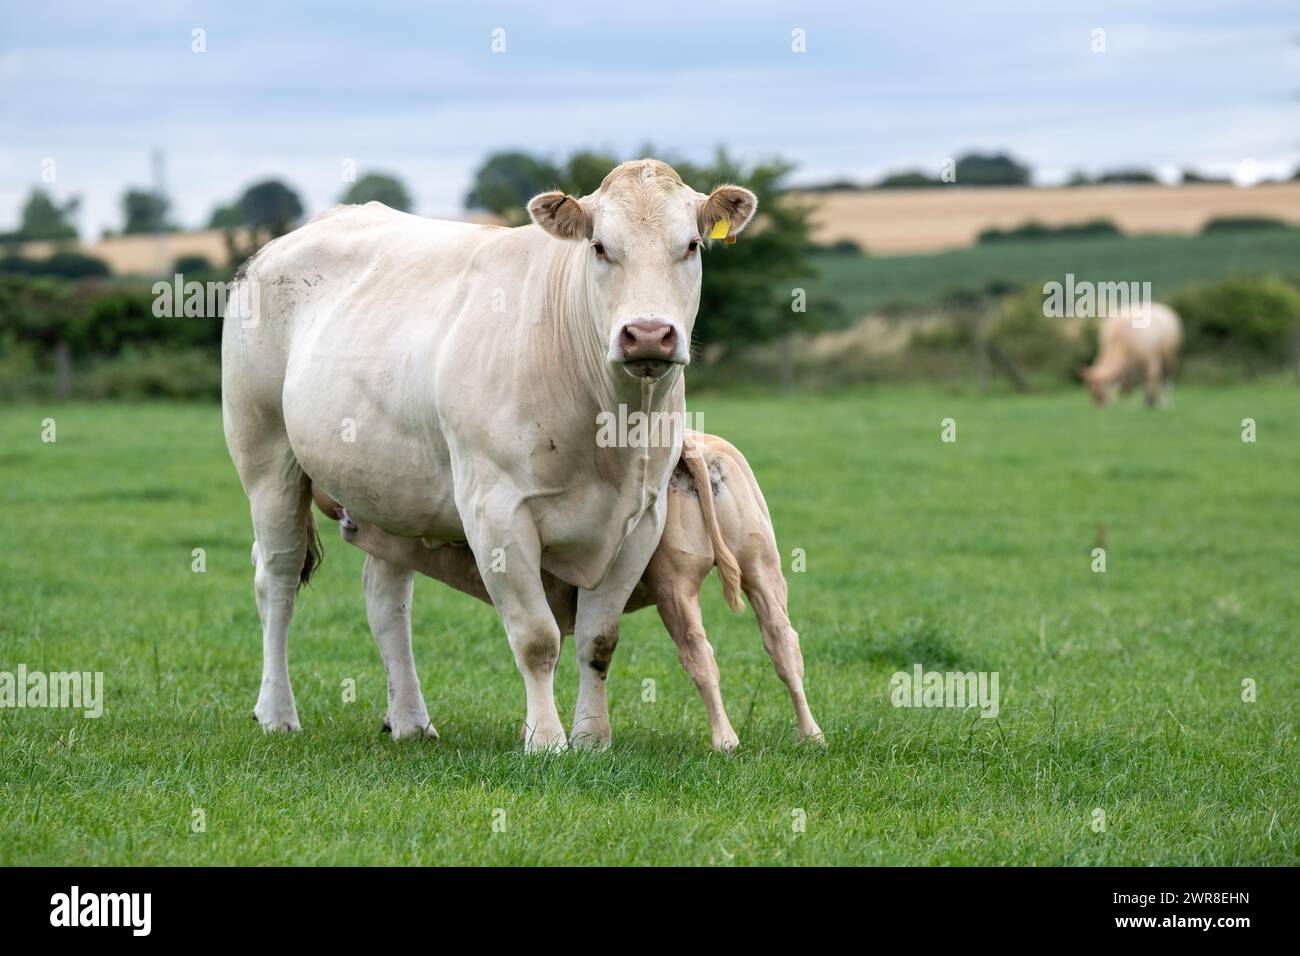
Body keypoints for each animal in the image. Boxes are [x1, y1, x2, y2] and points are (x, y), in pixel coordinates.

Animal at [221, 159, 757, 750]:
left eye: (691, 245)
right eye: (599, 246)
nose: (647, 334)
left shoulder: (642, 518)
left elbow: (598, 639)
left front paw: (593, 738)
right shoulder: (495, 511)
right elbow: (537, 638)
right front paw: (546, 741)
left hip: (389, 491)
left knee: (386, 601)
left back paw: (410, 721)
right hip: (266, 456)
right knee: (277, 577)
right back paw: (277, 712)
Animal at [312, 430, 824, 752]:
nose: (344, 513)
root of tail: (692, 446)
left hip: (674, 583)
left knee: (699, 654)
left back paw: (726, 740)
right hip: (762, 565)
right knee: (783, 643)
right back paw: (810, 734)